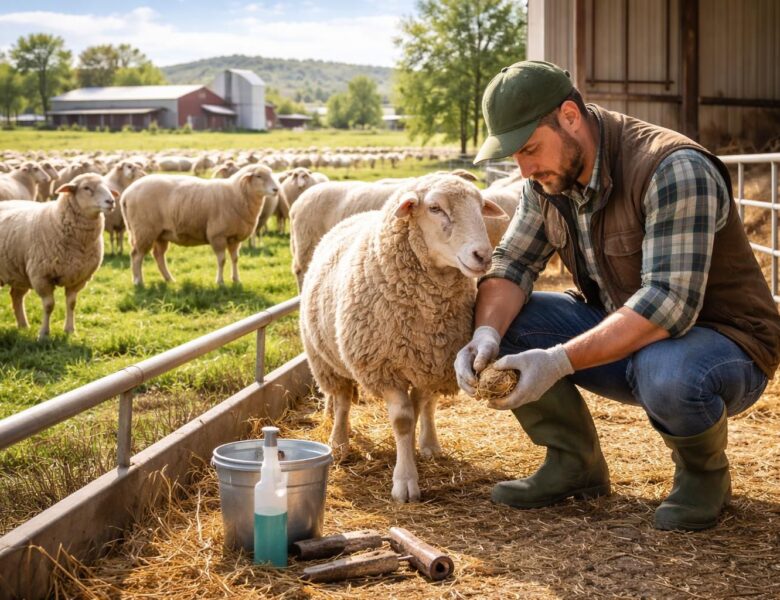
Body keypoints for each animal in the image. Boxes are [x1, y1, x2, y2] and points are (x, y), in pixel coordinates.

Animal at [0, 174, 117, 339]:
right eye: (86, 188)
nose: (111, 201)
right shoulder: (41, 276)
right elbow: (49, 306)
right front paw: (43, 334)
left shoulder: (78, 277)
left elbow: (72, 304)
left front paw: (70, 330)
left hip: (18, 273)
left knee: (16, 296)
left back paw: (23, 326)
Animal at [121, 164, 279, 285]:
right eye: (258, 176)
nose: (276, 189)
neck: (237, 193)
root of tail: (126, 194)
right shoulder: (217, 235)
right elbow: (222, 260)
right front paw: (220, 282)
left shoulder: (234, 238)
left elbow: (235, 259)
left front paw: (236, 280)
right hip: (144, 230)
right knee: (136, 255)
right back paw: (138, 281)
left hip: (160, 234)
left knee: (158, 256)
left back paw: (169, 279)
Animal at [300, 173, 506, 502]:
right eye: (435, 208)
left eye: (479, 206)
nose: (483, 255)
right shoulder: (383, 367)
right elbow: (403, 420)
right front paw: (405, 481)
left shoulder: (431, 361)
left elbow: (423, 406)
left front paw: (422, 448)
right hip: (324, 358)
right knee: (342, 399)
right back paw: (340, 442)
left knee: (426, 404)